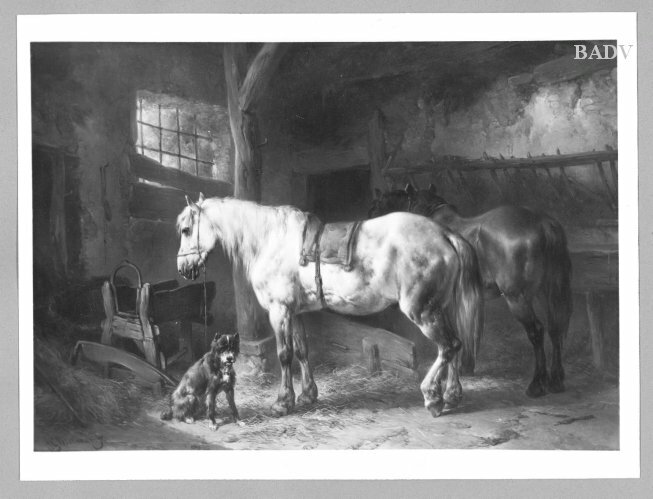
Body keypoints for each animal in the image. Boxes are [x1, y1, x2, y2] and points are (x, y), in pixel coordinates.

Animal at [176, 193, 483, 417]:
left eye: (187, 229)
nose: (184, 268)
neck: (271, 240)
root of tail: (445, 235)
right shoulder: (295, 312)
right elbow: (302, 350)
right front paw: (308, 394)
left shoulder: (279, 311)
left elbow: (284, 355)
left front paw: (283, 402)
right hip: (441, 308)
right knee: (455, 346)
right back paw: (452, 395)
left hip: (422, 310)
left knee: (448, 346)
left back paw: (432, 396)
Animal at [369, 184, 572, 398]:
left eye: (376, 208)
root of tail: (542, 223)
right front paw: (465, 367)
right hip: (545, 293)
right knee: (555, 328)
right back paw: (556, 380)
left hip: (517, 297)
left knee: (536, 331)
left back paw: (537, 384)